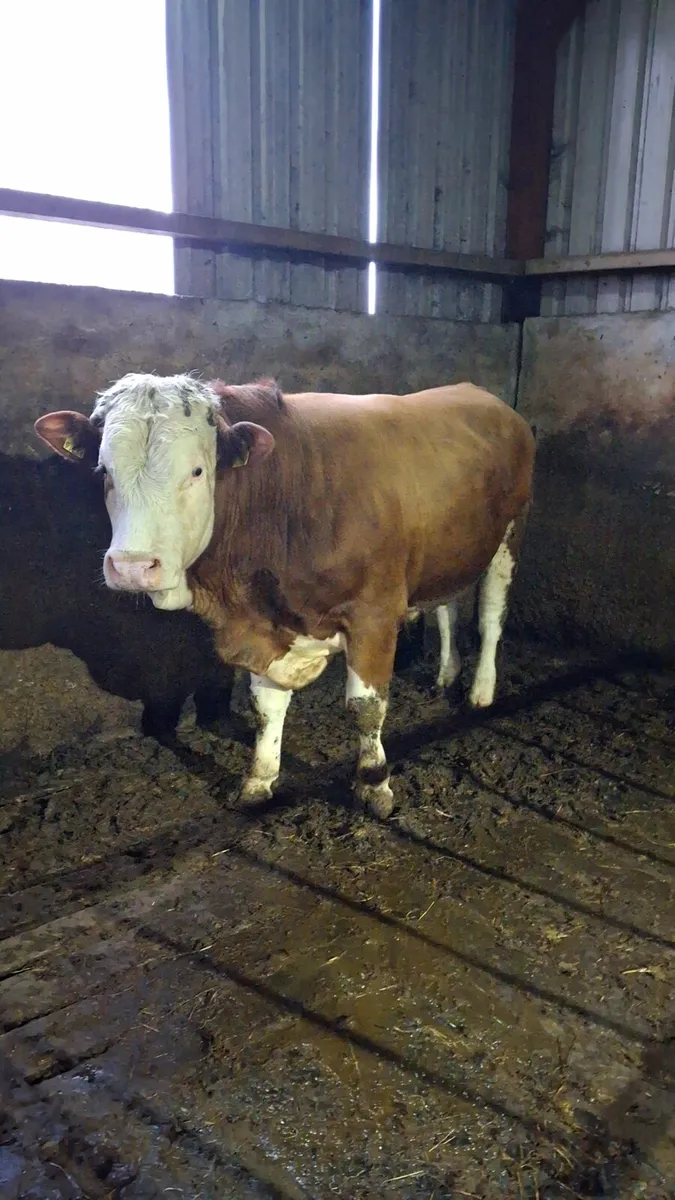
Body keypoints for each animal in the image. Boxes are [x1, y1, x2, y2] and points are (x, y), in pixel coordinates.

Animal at [35, 375, 535, 818]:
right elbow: (265, 708)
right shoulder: (263, 625)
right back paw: (447, 674)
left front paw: (374, 784)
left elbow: (366, 706)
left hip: (510, 534)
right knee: (447, 606)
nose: (134, 567)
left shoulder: (372, 613)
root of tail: (481, 395)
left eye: (197, 471)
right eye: (104, 471)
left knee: (489, 618)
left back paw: (480, 692)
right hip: (448, 549)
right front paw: (259, 781)